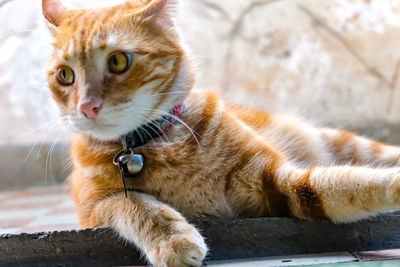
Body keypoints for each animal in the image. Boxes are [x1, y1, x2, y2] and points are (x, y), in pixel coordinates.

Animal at [42, 0, 400, 266]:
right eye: (65, 75)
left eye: (118, 61)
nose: (87, 106)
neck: (158, 144)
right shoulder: (93, 210)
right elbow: (132, 205)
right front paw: (173, 241)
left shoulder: (282, 181)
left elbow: (354, 183)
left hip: (350, 144)